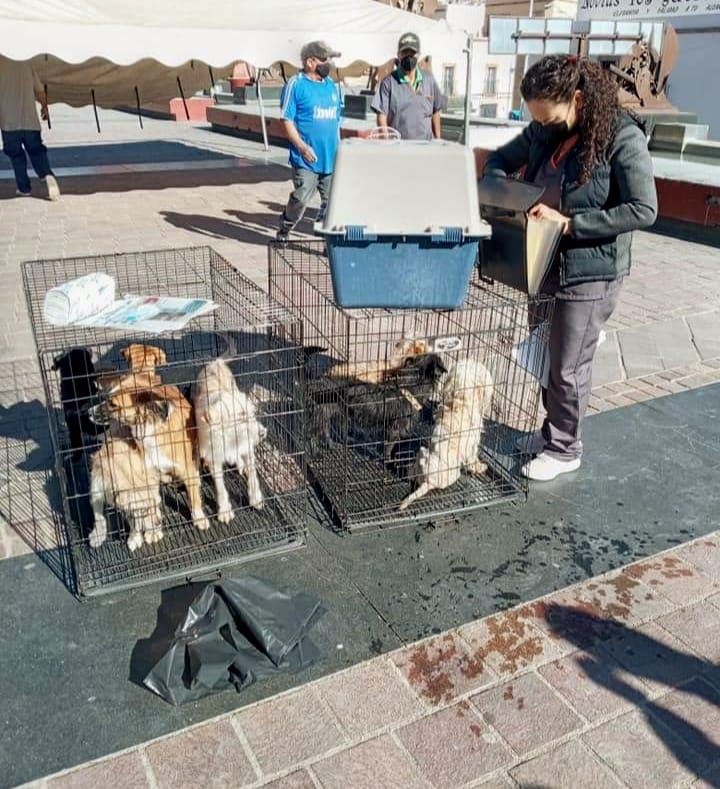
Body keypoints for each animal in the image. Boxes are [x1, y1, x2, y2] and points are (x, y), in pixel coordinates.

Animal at [194, 356, 268, 516]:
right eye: (240, 415)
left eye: (252, 412)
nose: (263, 433)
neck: (230, 438)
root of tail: (216, 361)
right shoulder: (213, 457)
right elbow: (220, 486)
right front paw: (224, 510)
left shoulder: (247, 447)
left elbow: (253, 475)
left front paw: (255, 498)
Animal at [400, 358, 496, 510]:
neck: (460, 397)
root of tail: (429, 481)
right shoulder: (472, 444)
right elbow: (473, 460)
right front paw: (480, 467)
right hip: (455, 472)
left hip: (422, 453)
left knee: (412, 474)